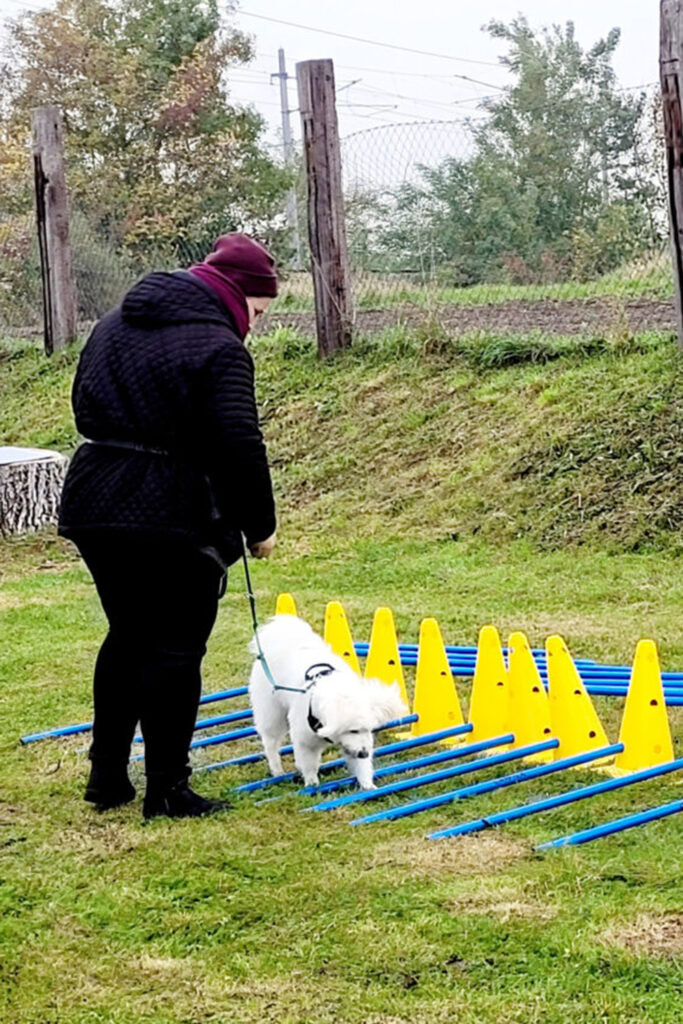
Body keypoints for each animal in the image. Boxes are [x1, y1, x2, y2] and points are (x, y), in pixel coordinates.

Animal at [248, 614, 405, 790]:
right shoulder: (306, 741)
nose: (365, 753)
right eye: (353, 730)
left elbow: (361, 767)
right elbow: (309, 765)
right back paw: (277, 770)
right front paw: (312, 784)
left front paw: (368, 786)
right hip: (272, 713)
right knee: (271, 742)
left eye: (369, 729)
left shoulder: (353, 746)